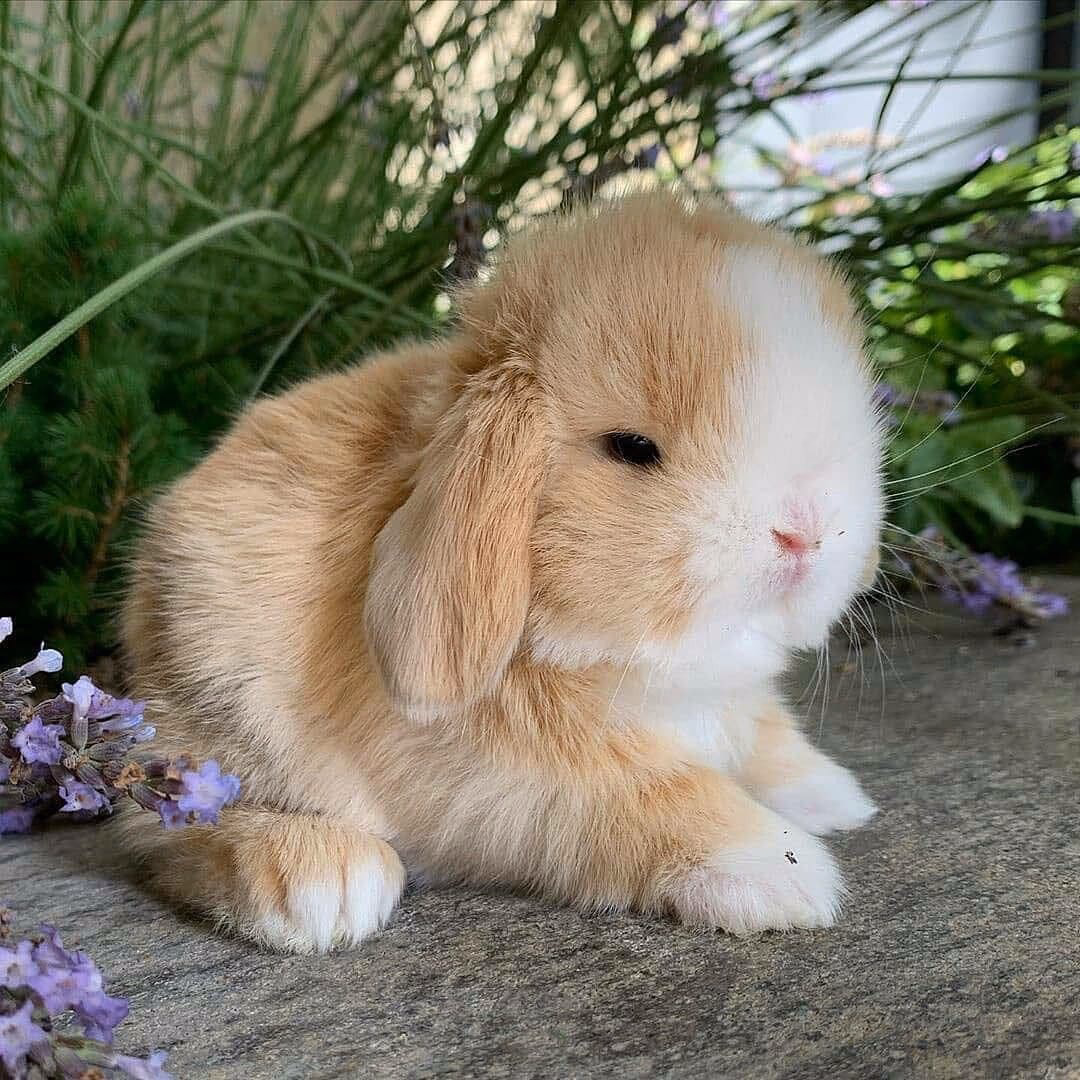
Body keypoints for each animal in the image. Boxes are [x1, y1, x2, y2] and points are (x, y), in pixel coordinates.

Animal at [119, 191, 884, 954]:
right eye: (633, 448)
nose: (806, 529)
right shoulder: (524, 783)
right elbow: (659, 796)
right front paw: (785, 873)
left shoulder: (729, 698)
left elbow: (760, 730)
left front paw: (834, 796)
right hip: (219, 713)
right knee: (160, 822)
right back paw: (320, 882)